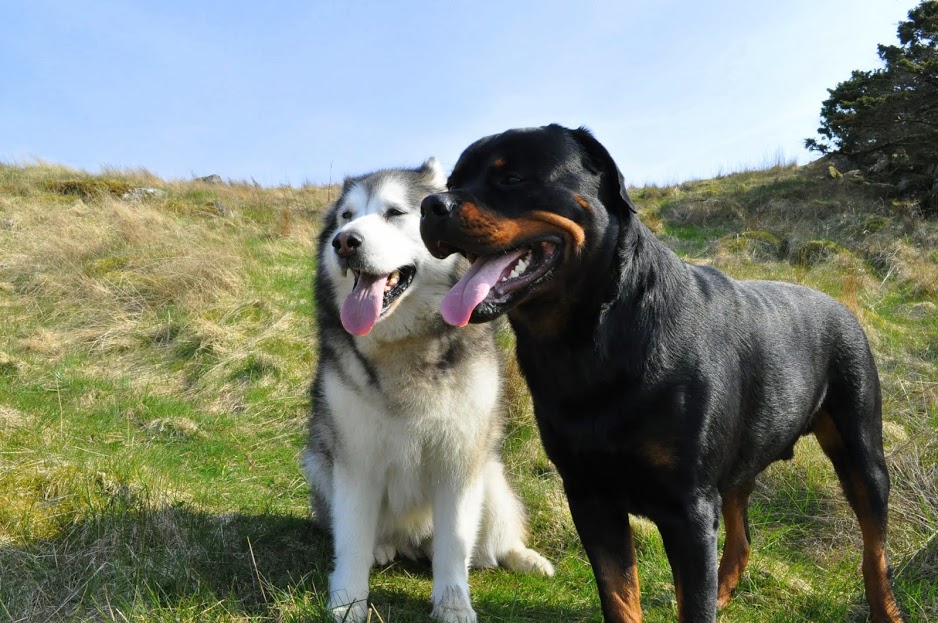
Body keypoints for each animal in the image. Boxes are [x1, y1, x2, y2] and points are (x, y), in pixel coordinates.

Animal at [301, 159, 553, 623]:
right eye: (346, 217)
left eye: (395, 213)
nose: (345, 242)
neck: (404, 347)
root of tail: (414, 542)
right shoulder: (355, 458)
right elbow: (352, 541)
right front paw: (347, 601)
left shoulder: (459, 458)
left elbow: (455, 544)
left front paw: (453, 604)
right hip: (318, 465)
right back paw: (383, 547)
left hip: (491, 477)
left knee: (493, 542)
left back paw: (523, 557)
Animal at [419, 125, 904, 623]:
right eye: (452, 181)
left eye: (512, 178)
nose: (431, 206)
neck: (586, 344)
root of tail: (839, 306)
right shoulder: (589, 496)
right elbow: (619, 595)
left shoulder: (688, 509)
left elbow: (692, 602)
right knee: (743, 534)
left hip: (861, 448)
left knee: (875, 550)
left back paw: (886, 608)